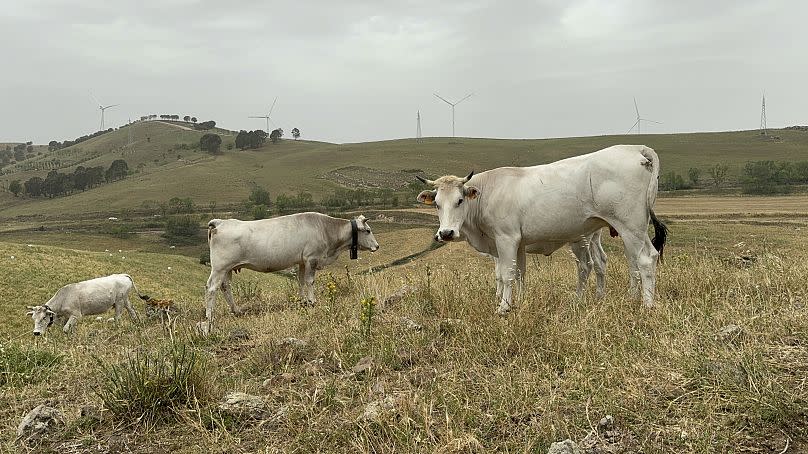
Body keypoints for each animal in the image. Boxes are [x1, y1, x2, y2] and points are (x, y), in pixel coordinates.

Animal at [202, 212, 378, 320]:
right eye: (368, 231)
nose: (377, 246)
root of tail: (221, 222)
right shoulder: (312, 258)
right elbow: (310, 281)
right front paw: (312, 301)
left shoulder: (301, 261)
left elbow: (300, 281)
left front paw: (302, 300)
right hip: (219, 267)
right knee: (212, 288)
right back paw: (209, 316)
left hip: (227, 269)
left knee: (225, 287)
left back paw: (236, 310)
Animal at [416, 145, 668, 312]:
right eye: (437, 203)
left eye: (459, 200)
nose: (446, 233)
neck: (489, 192)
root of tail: (634, 148)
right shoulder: (518, 243)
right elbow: (520, 274)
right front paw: (520, 301)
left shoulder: (505, 239)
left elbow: (506, 274)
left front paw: (503, 307)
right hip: (624, 231)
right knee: (626, 263)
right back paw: (622, 298)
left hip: (630, 226)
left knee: (644, 259)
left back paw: (646, 306)